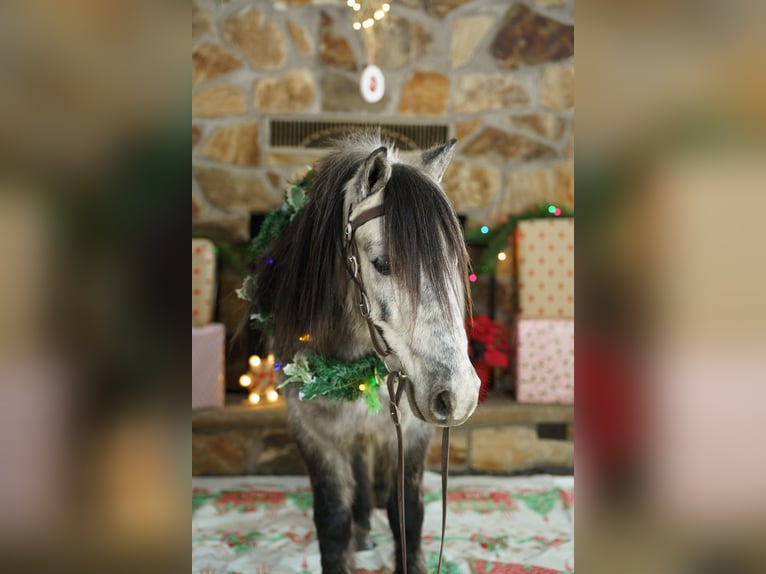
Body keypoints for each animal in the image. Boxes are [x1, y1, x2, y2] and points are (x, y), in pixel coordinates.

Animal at [249, 135, 481, 574]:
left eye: (456, 265)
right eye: (383, 263)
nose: (457, 395)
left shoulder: (413, 432)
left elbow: (407, 513)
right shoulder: (314, 433)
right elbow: (331, 520)